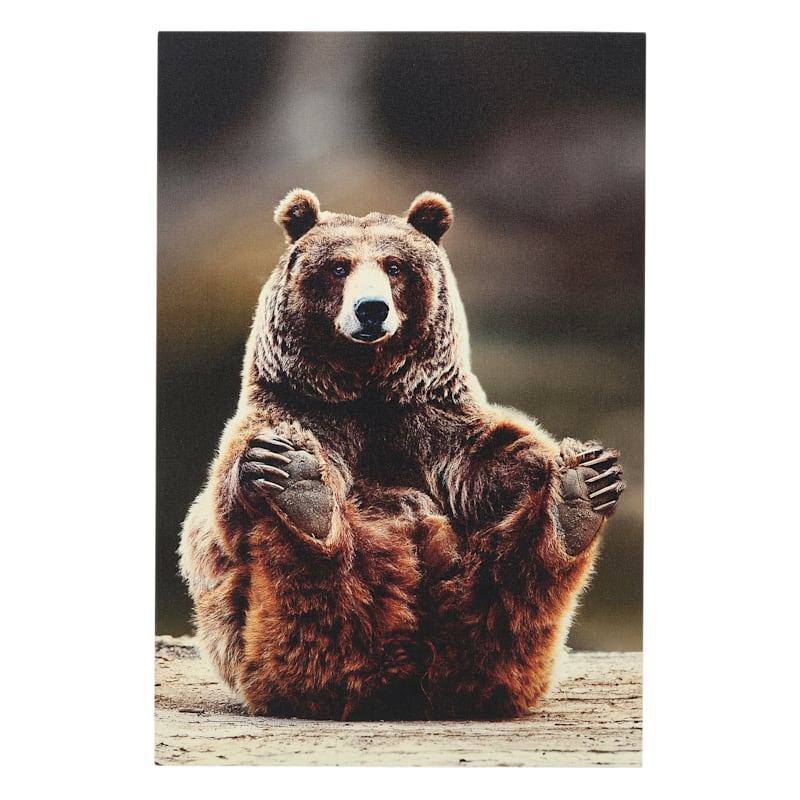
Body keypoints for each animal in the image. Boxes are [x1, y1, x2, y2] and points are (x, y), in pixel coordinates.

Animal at [178, 189, 625, 721]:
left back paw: (577, 501)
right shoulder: (305, 414)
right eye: (339, 266)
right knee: (317, 600)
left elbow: (495, 459)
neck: (369, 392)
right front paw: (281, 467)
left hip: (479, 607)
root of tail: (408, 679)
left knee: (508, 593)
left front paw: (582, 468)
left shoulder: (433, 424)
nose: (371, 310)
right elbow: (227, 505)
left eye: (394, 265)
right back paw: (303, 494)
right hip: (263, 633)